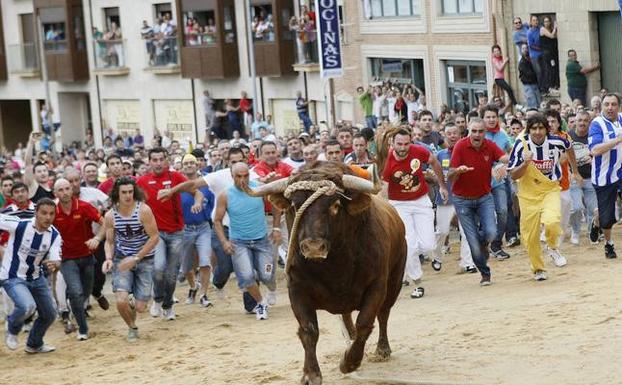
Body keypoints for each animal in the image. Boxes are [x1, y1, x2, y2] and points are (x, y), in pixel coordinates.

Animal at [244, 161, 410, 384]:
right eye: (295, 206)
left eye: (335, 205)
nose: (313, 246)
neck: (334, 267)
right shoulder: (296, 289)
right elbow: (309, 330)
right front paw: (311, 373)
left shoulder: (377, 286)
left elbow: (365, 322)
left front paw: (349, 362)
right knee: (348, 317)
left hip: (394, 281)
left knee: (383, 314)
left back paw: (382, 349)